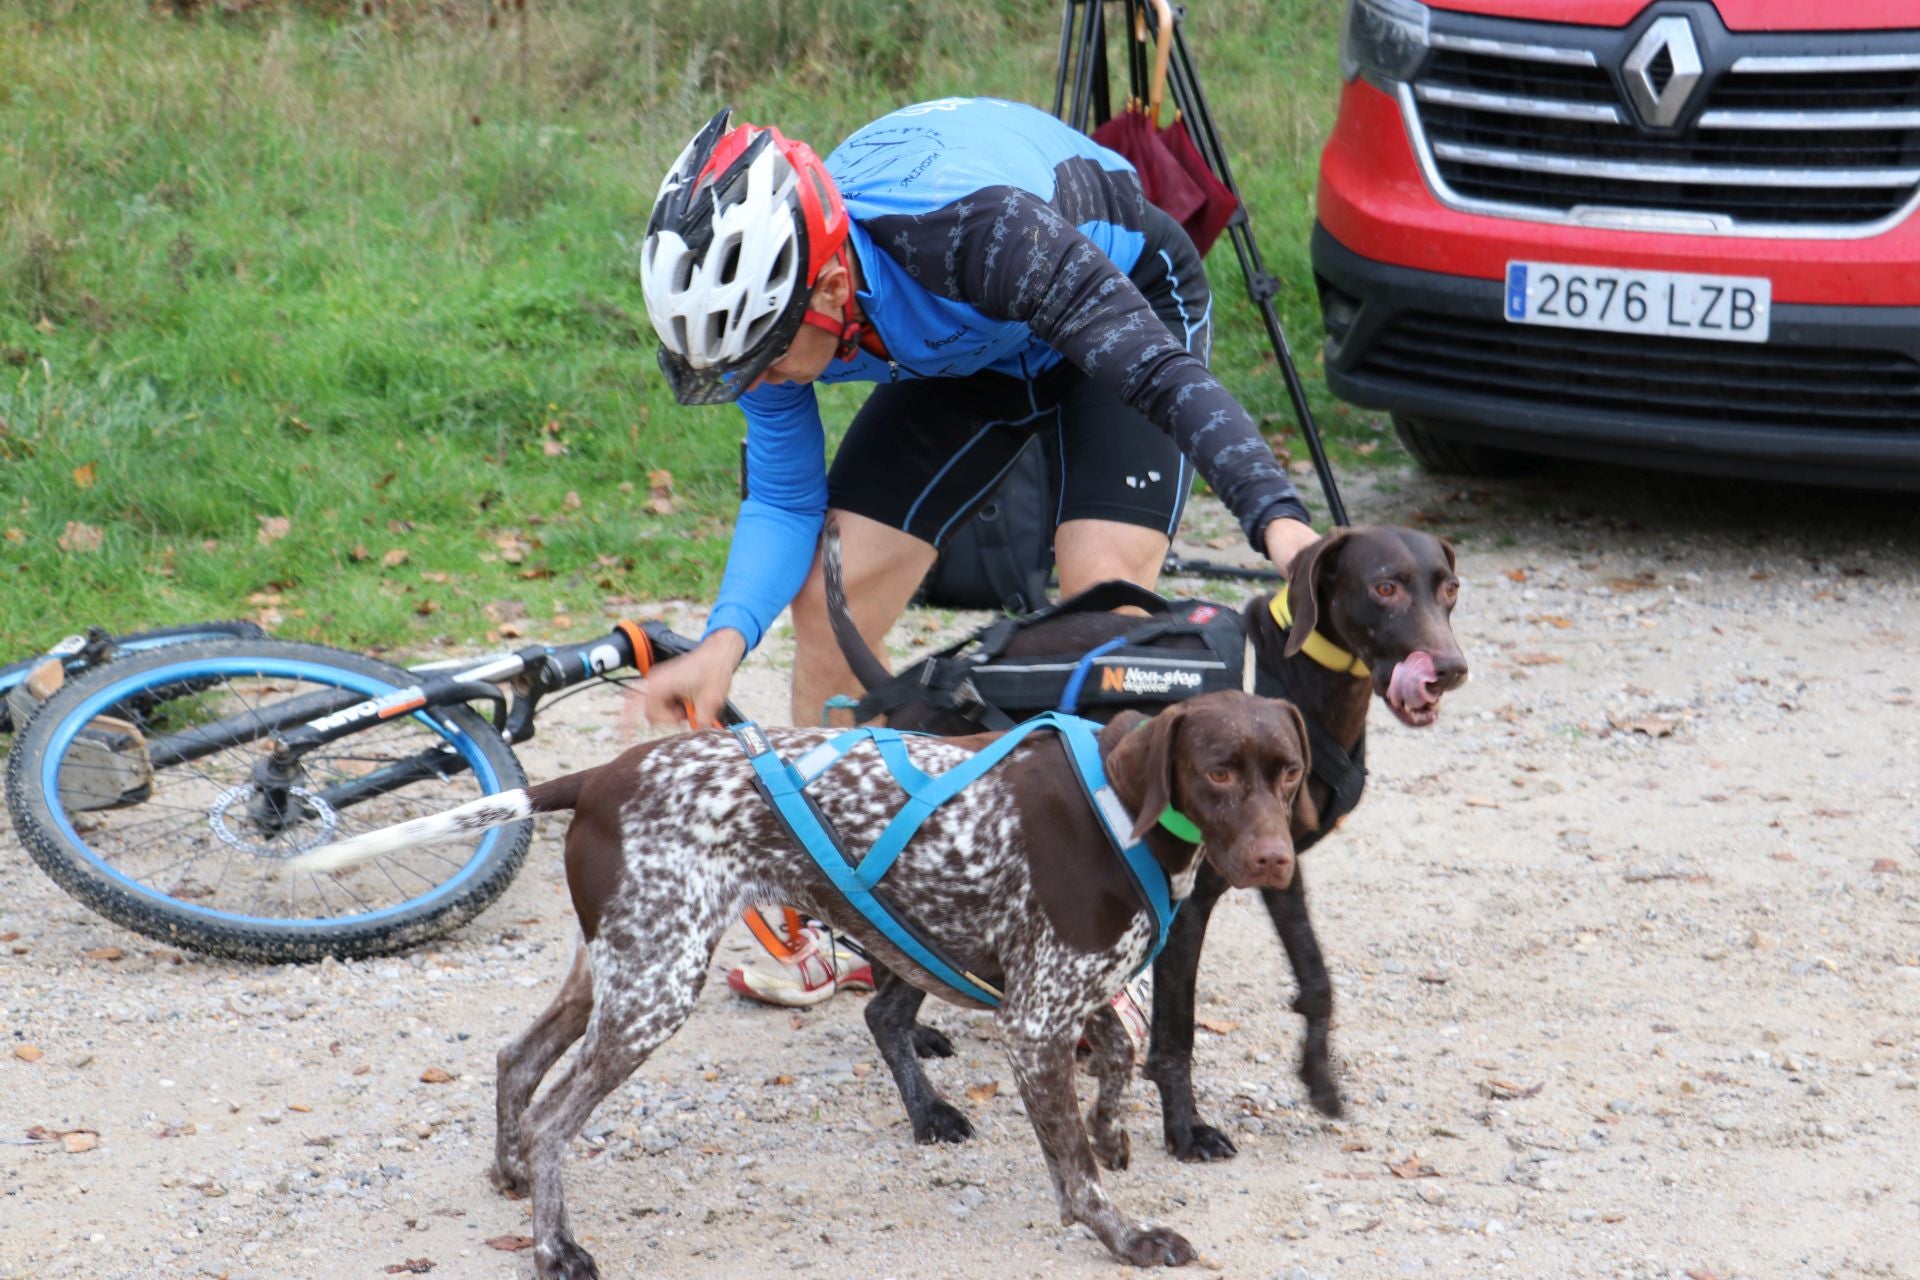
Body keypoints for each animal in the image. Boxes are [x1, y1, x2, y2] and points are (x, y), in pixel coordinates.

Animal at [291, 690, 1313, 1274]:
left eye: (1289, 771)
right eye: (1219, 772)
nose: (1275, 860)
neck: (1123, 808)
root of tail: (600, 776)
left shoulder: (1065, 995)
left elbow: (1124, 1053)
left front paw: (1115, 1133)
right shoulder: (1032, 1020)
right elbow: (1079, 1175)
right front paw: (1125, 1234)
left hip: (619, 968)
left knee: (515, 1061)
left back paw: (508, 1175)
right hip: (656, 988)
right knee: (552, 1115)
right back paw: (556, 1248)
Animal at [829, 521, 1466, 1159]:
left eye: (1450, 587)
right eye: (1385, 587)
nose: (1450, 668)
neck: (1291, 676)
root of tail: (914, 688)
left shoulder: (1279, 868)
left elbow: (1316, 978)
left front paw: (1319, 1079)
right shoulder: (1186, 905)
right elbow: (1176, 1034)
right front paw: (1185, 1129)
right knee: (885, 992)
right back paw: (927, 1102)